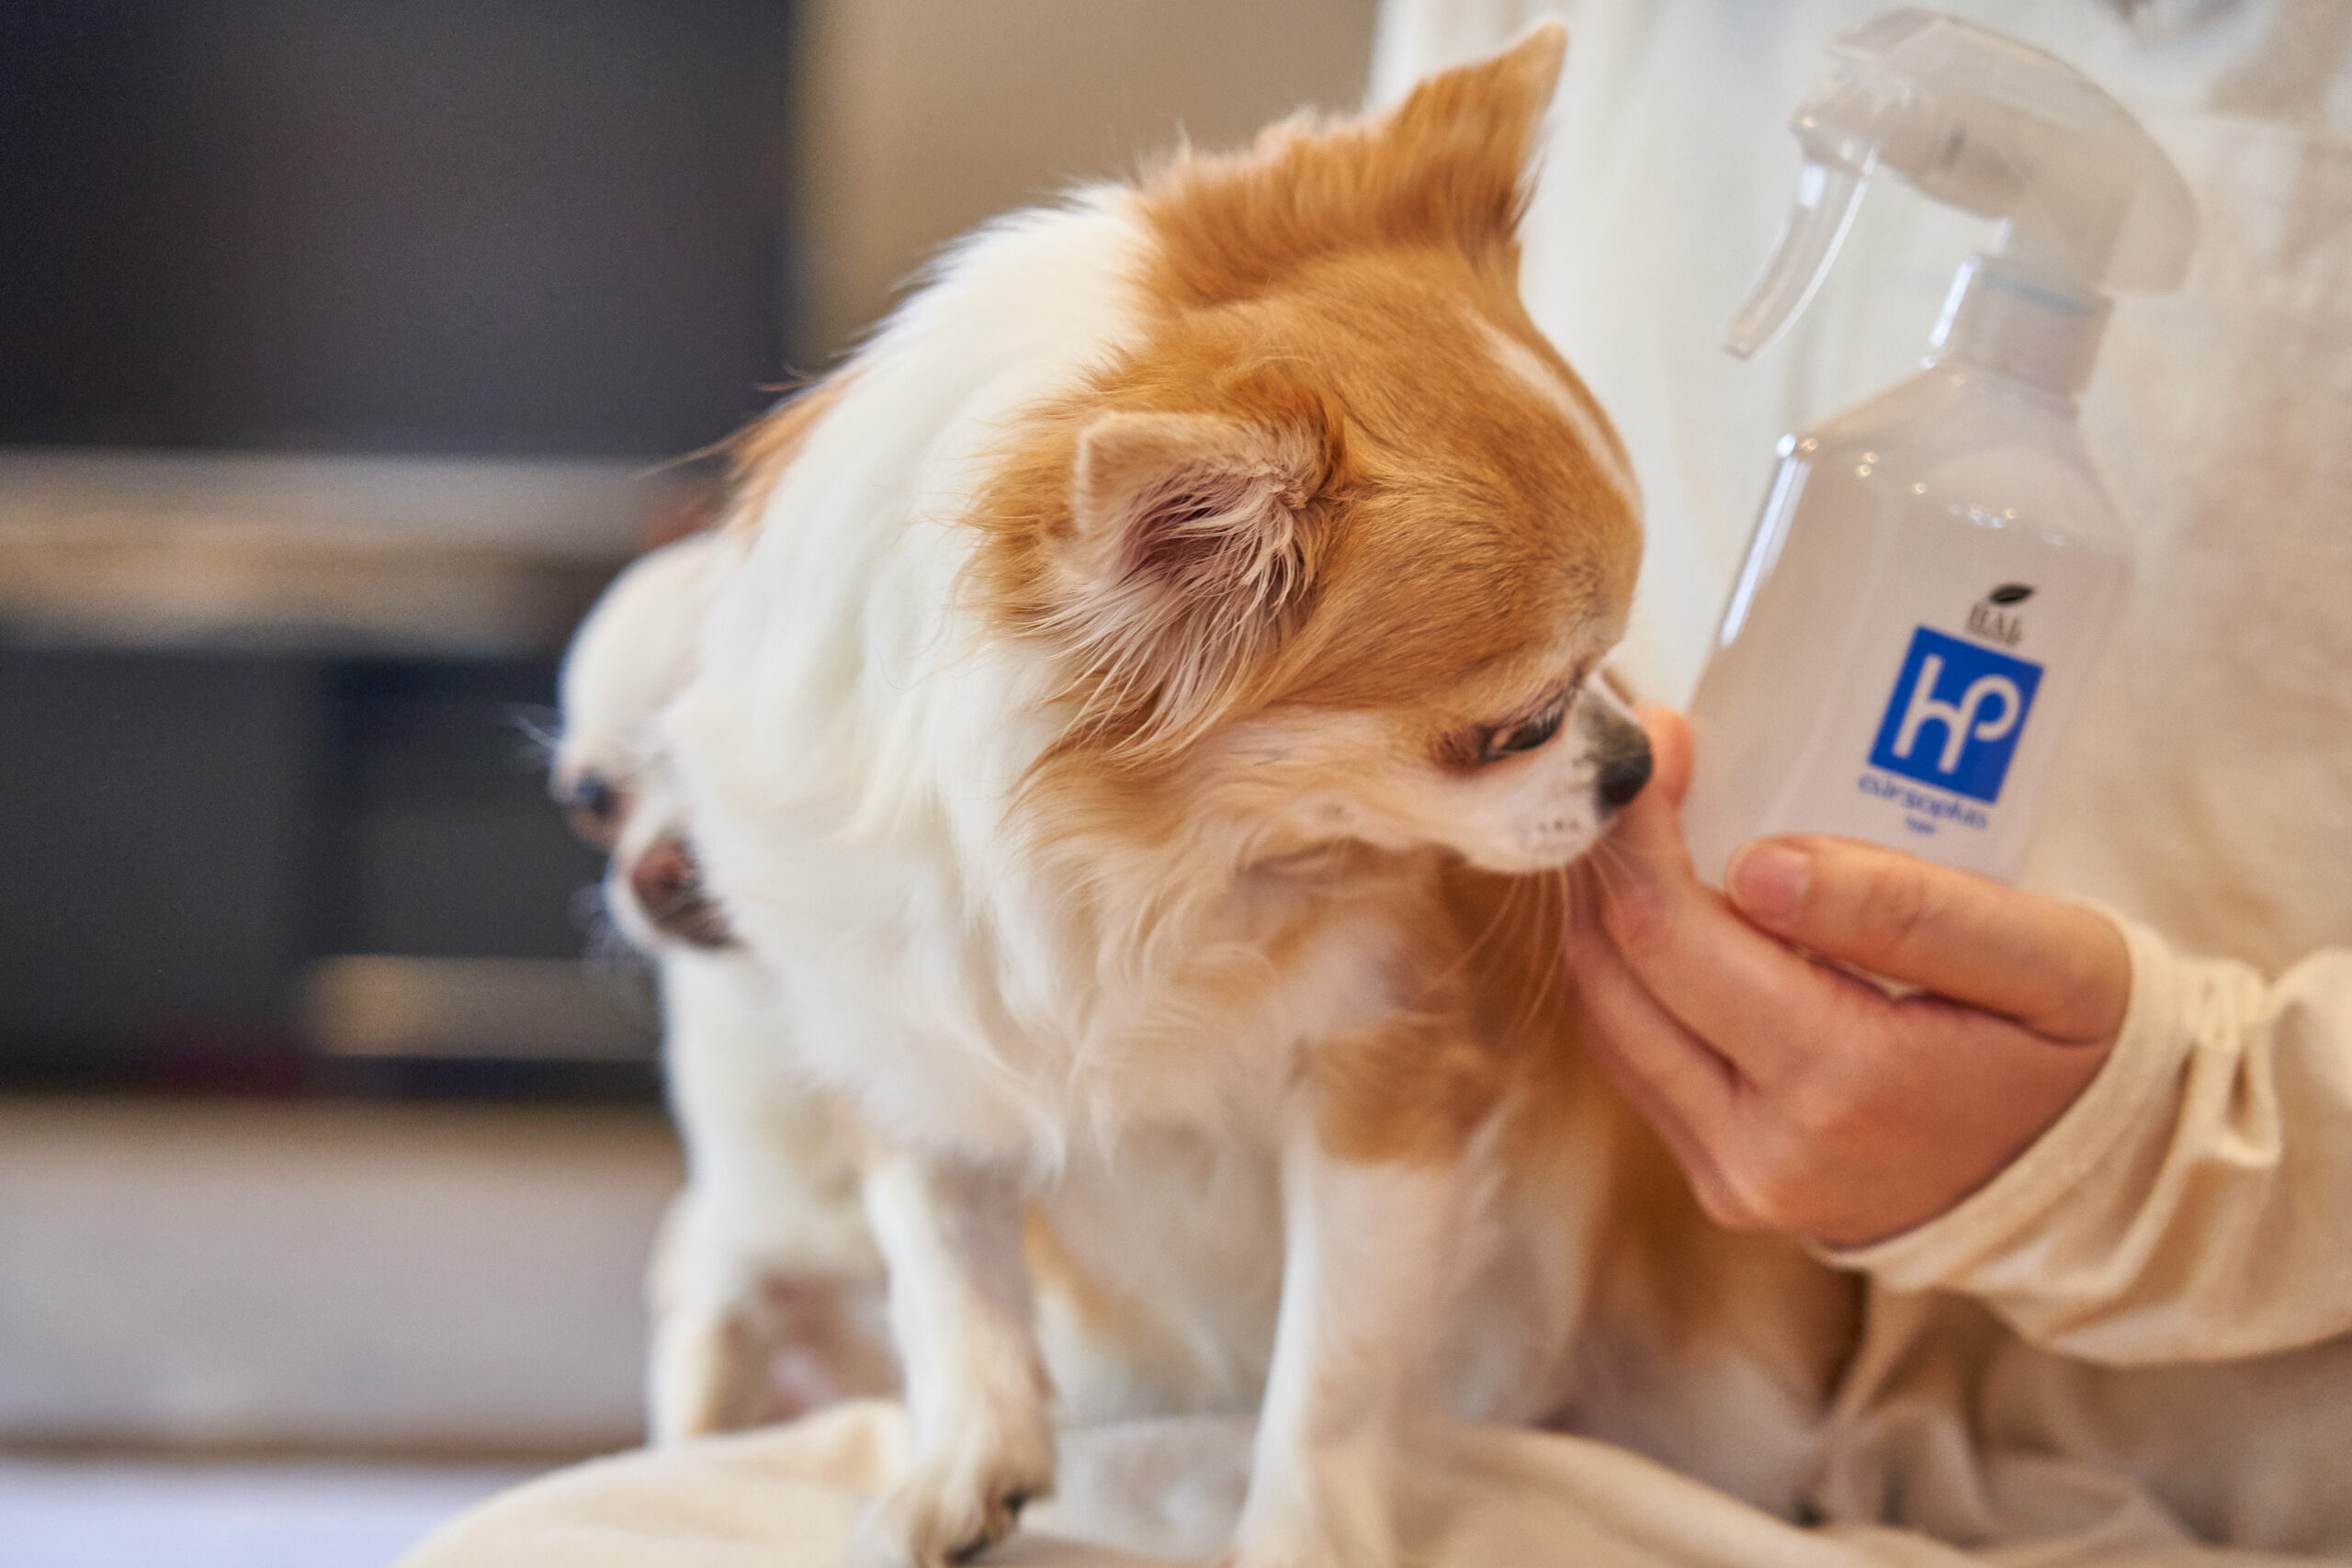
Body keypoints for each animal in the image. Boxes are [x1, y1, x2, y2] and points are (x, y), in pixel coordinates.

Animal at [662, 36, 1853, 1568]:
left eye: (1608, 677)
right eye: (1513, 729)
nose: (1635, 761)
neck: (1151, 865)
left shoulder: (1386, 1089)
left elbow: (1329, 1370)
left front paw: (1301, 1531)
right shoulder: (906, 1046)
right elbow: (946, 1274)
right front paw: (962, 1460)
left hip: (1719, 1391)